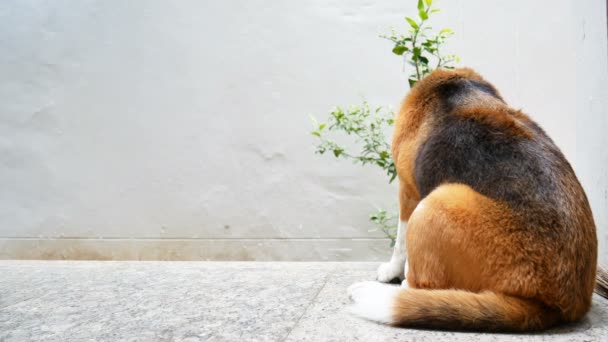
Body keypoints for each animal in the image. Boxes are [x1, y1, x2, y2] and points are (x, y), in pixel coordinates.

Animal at [346, 67, 600, 332]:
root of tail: (560, 304)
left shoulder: (408, 191)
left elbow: (399, 243)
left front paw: (390, 272)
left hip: (436, 202)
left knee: (422, 283)